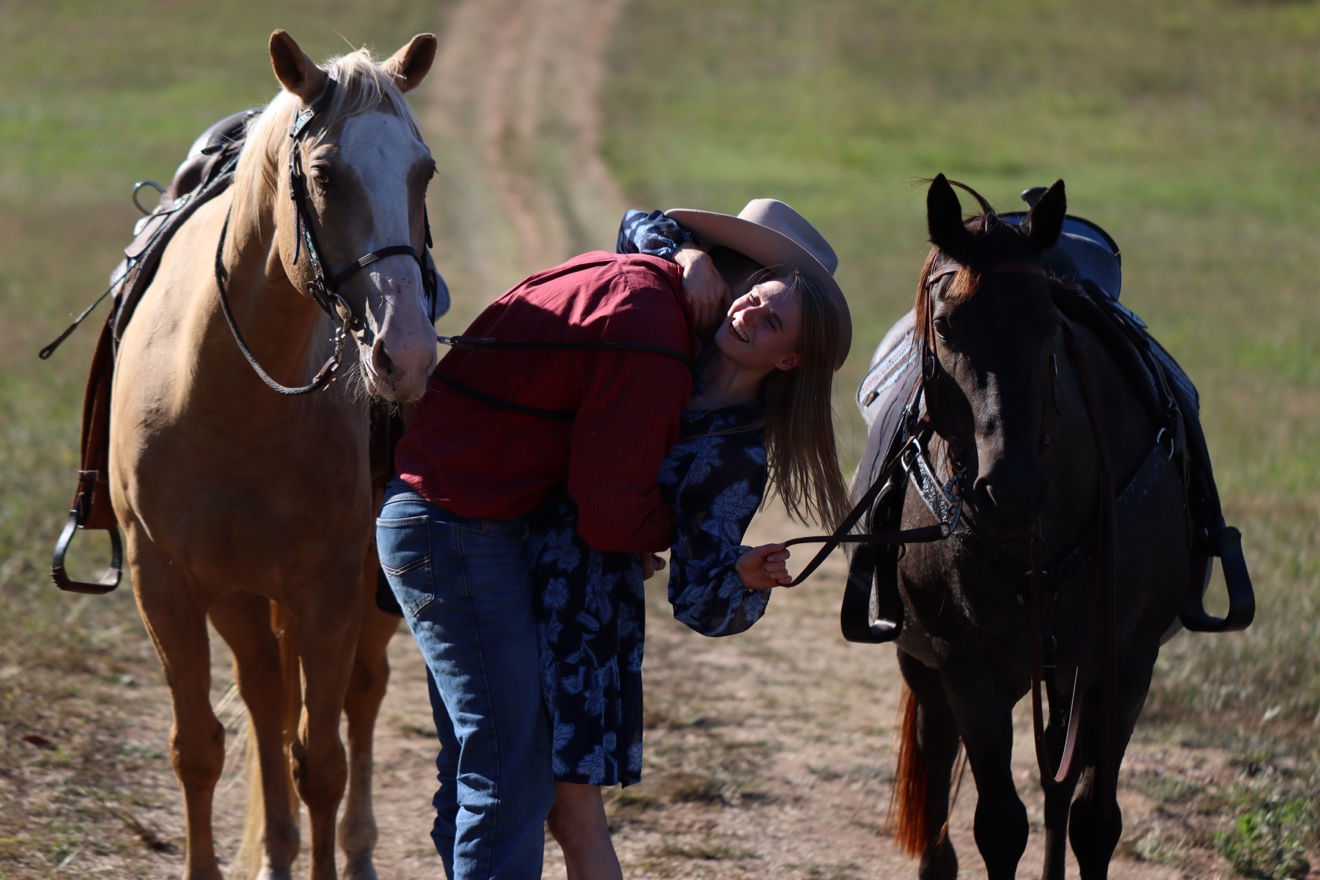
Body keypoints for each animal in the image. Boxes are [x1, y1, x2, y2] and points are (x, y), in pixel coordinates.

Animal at [108, 31, 439, 880]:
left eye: (423, 171)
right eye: (324, 176)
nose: (406, 354)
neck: (233, 390)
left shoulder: (329, 590)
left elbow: (320, 759)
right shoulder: (166, 585)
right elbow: (199, 749)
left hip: (357, 595)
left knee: (359, 695)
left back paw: (354, 852)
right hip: (239, 597)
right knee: (264, 697)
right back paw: (278, 851)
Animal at [856, 175, 1190, 879]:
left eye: (1049, 326)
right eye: (946, 325)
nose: (1008, 489)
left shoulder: (1124, 662)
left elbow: (1096, 820)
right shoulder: (966, 668)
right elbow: (1001, 825)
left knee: (1060, 783)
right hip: (925, 665)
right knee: (936, 749)